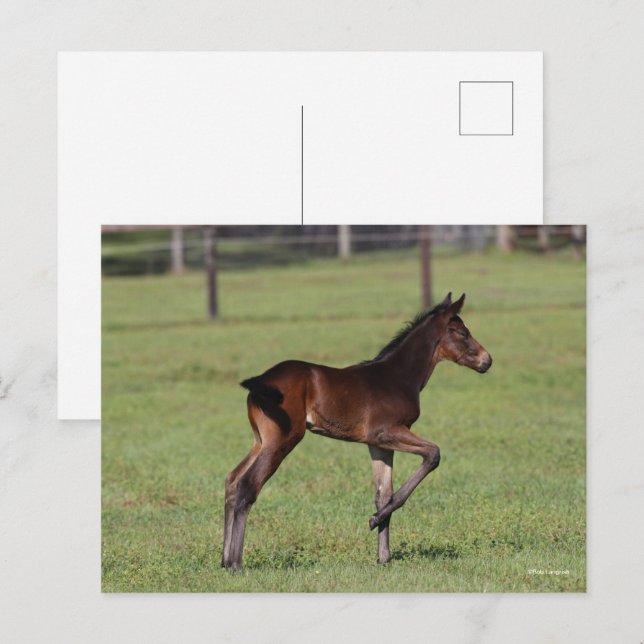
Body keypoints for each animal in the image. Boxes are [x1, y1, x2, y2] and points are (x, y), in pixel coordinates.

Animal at [222, 292, 492, 570]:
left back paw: (224, 560)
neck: (398, 377)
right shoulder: (386, 432)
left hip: (261, 440)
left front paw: (383, 557)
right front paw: (373, 521)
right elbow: (433, 455)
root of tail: (260, 382)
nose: (487, 360)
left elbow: (384, 494)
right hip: (282, 439)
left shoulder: (378, 444)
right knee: (248, 485)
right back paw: (235, 563)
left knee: (232, 481)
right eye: (462, 333)